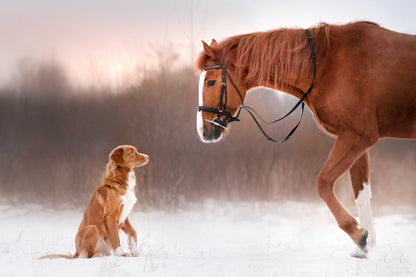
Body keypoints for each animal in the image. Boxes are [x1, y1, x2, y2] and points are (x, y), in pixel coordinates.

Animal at [196, 21, 416, 256]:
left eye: (210, 82)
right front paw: (364, 244)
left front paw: (358, 234)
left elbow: (323, 182)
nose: (204, 131)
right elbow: (361, 192)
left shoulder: (357, 137)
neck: (326, 64)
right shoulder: (359, 141)